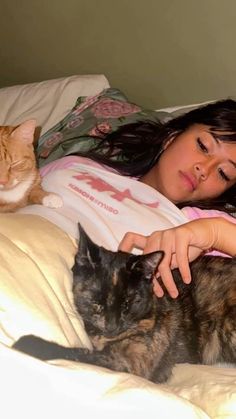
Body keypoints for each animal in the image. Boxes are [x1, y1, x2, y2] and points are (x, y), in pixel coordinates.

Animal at [13, 226, 236, 384]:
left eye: (129, 302)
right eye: (97, 301)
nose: (112, 326)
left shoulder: (129, 364)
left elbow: (77, 353)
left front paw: (27, 343)